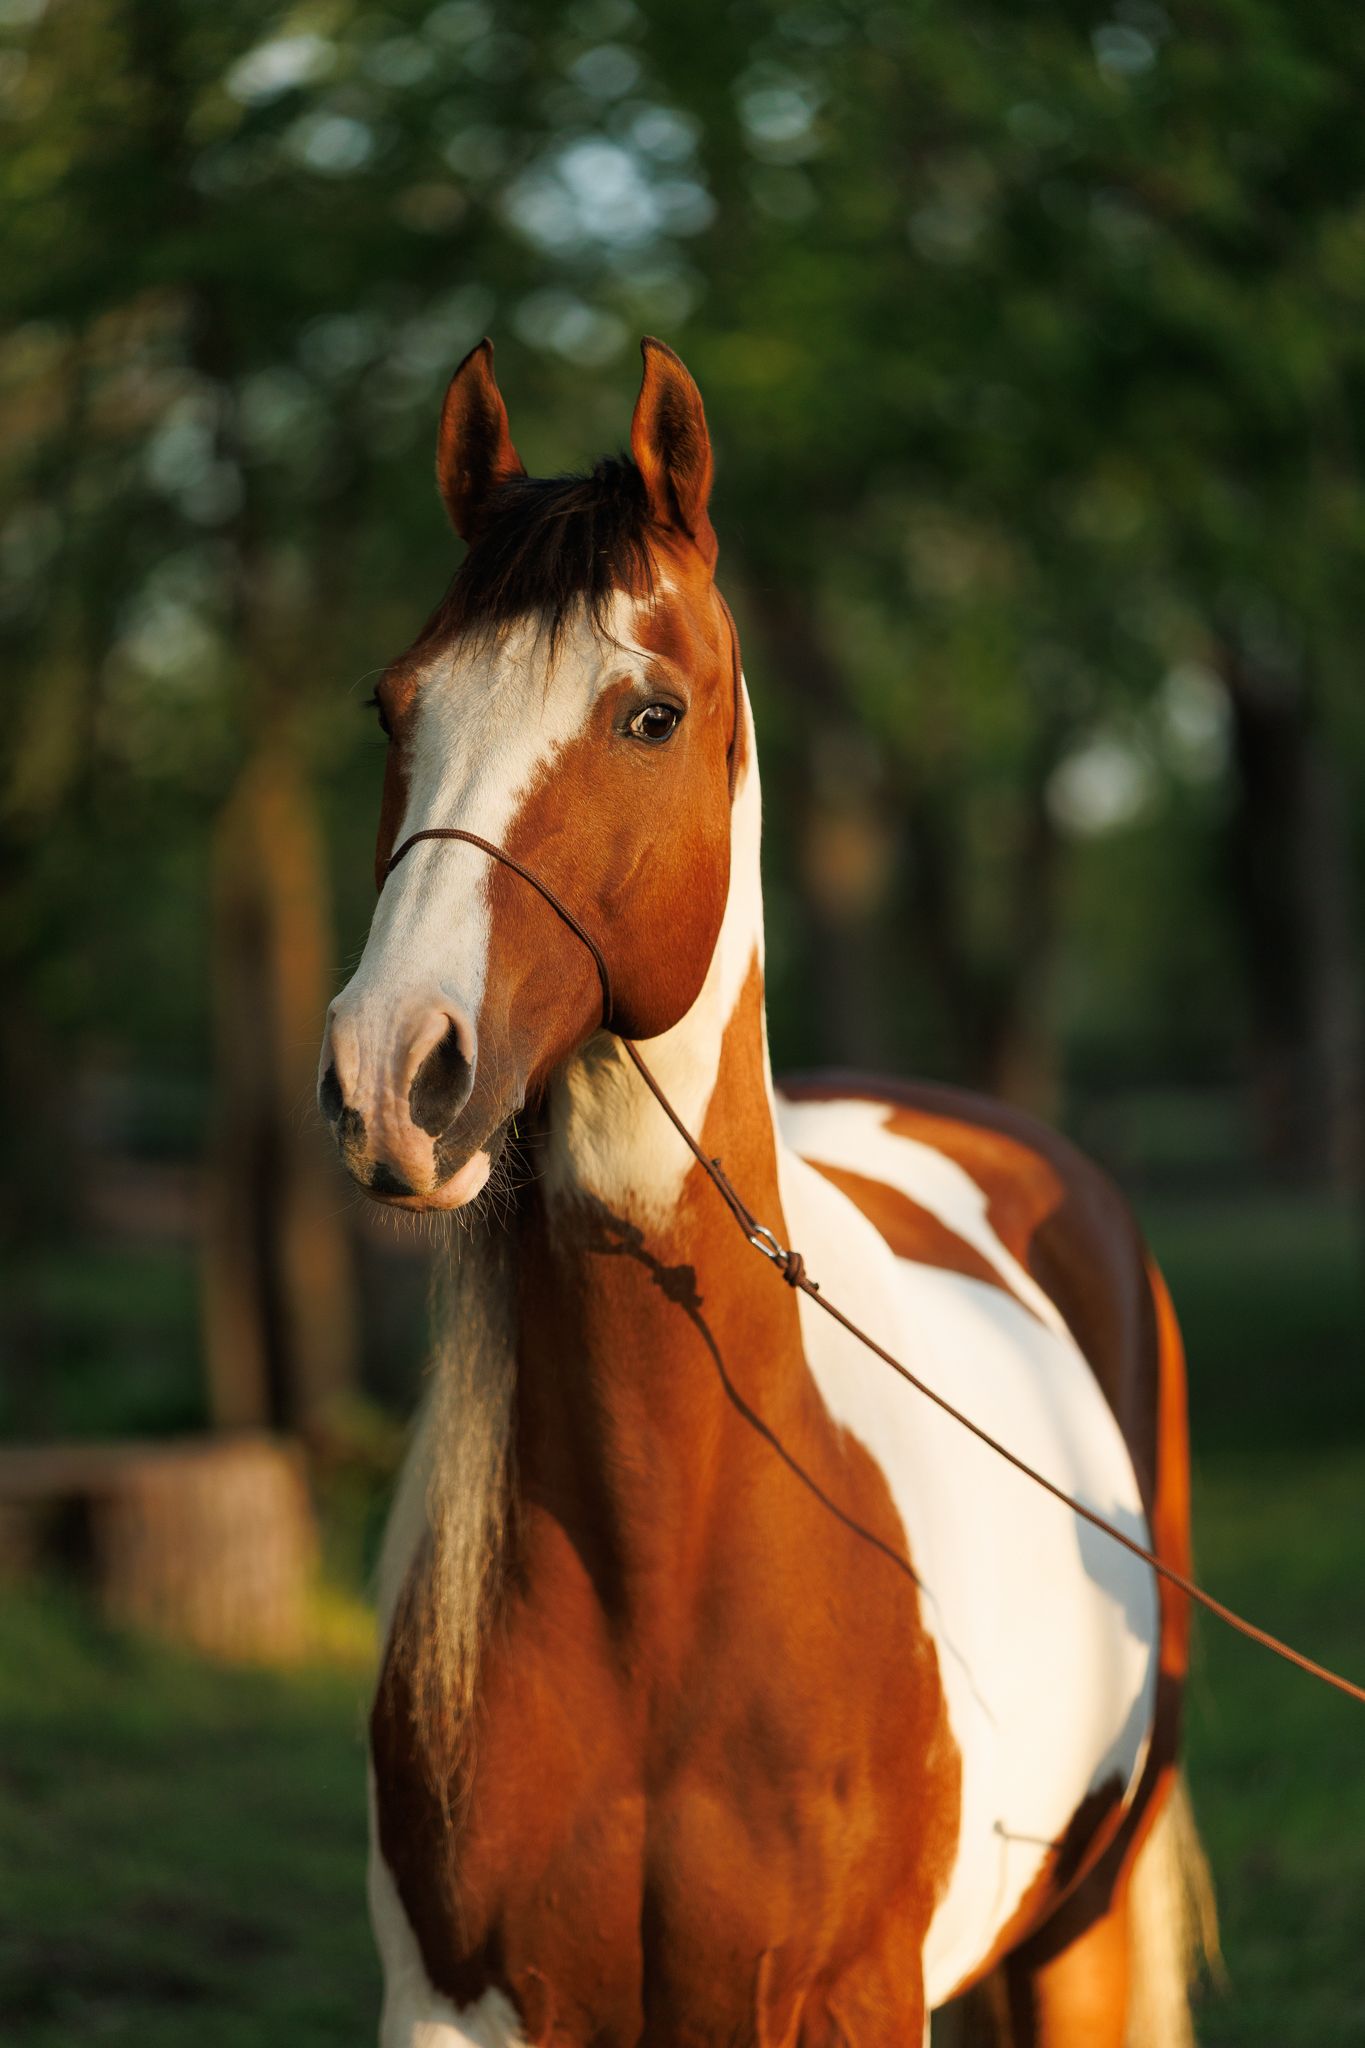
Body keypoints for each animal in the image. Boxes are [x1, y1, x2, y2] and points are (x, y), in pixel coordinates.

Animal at [319, 337, 1210, 2048]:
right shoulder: (455, 2009)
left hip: (1077, 1933)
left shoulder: (846, 2003)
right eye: (393, 705)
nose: (394, 1073)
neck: (662, 1569)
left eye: (649, 715)